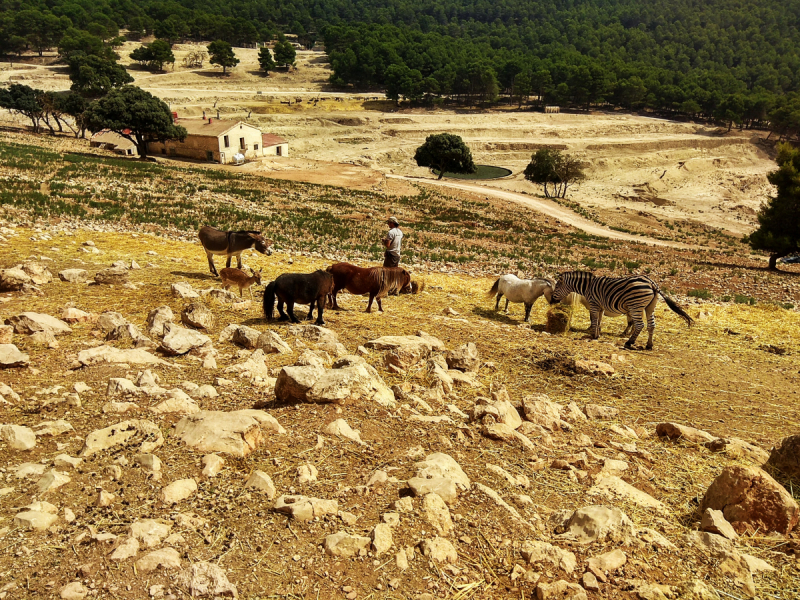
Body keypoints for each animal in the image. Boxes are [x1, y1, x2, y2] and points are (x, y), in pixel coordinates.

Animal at [552, 270, 692, 350]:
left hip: (635, 305)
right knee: (651, 325)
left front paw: (593, 335)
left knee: (639, 325)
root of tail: (652, 283)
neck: (587, 287)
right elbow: (599, 320)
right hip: (649, 307)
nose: (552, 301)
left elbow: (594, 319)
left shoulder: (594, 304)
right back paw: (649, 345)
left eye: (557, 287)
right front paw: (597, 333)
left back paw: (629, 342)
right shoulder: (600, 306)